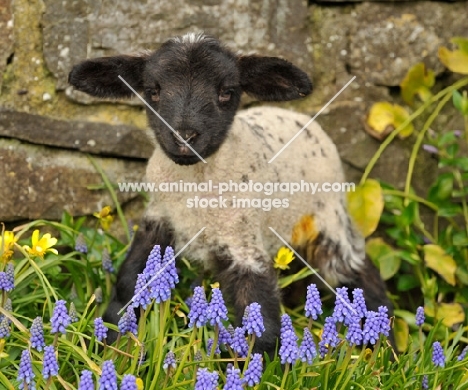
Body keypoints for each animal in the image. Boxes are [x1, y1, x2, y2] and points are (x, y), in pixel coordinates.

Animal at [67, 32, 394, 356]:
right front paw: (112, 340)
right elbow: (130, 280)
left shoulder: (243, 243)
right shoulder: (158, 220)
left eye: (227, 91)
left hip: (329, 220)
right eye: (153, 91)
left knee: (359, 273)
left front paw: (257, 364)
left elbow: (259, 319)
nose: (185, 137)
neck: (196, 187)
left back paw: (383, 344)